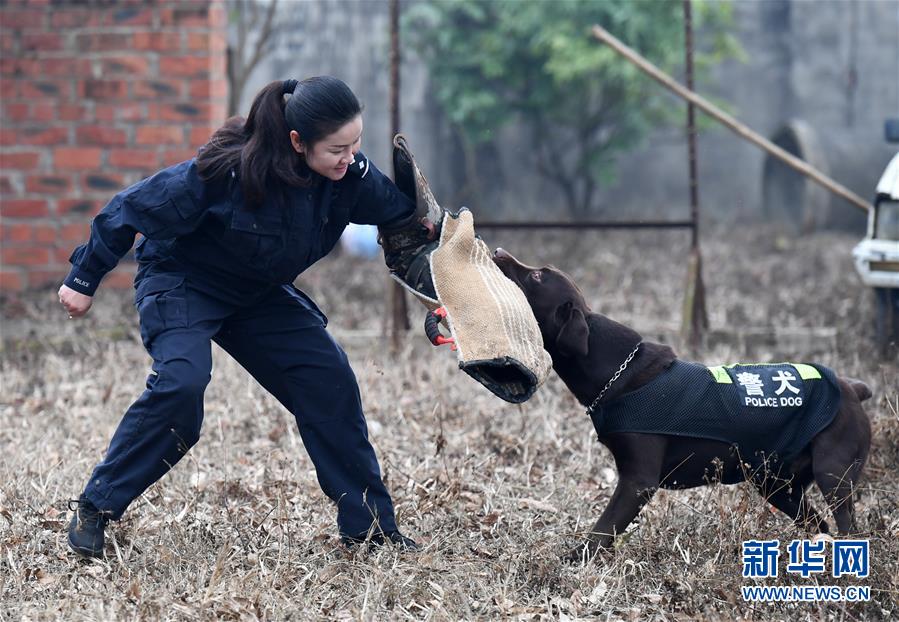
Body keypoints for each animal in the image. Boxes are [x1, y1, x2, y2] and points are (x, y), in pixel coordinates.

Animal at [492, 249, 872, 560]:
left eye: (537, 277)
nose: (497, 251)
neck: (614, 370)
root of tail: (852, 389)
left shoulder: (637, 482)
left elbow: (603, 528)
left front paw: (576, 559)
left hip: (832, 475)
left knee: (846, 527)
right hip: (778, 485)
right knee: (819, 526)